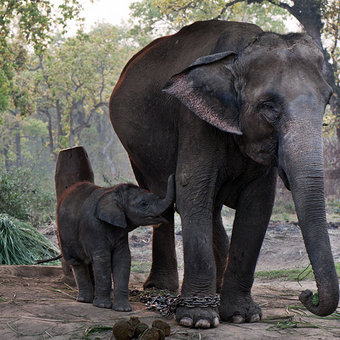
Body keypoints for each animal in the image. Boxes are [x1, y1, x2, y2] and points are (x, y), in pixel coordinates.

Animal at [57, 175, 175, 310]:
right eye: (144, 204)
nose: (172, 175)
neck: (113, 192)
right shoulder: (93, 227)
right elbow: (103, 258)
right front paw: (103, 306)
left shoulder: (121, 230)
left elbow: (122, 258)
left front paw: (123, 309)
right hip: (64, 234)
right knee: (78, 263)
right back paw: (84, 300)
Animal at [109, 19, 338, 328]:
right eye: (269, 106)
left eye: (327, 100)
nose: (306, 294)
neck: (240, 53)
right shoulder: (195, 121)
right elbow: (192, 191)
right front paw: (198, 320)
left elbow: (257, 206)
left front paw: (243, 315)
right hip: (137, 150)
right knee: (164, 198)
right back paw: (161, 288)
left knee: (213, 208)